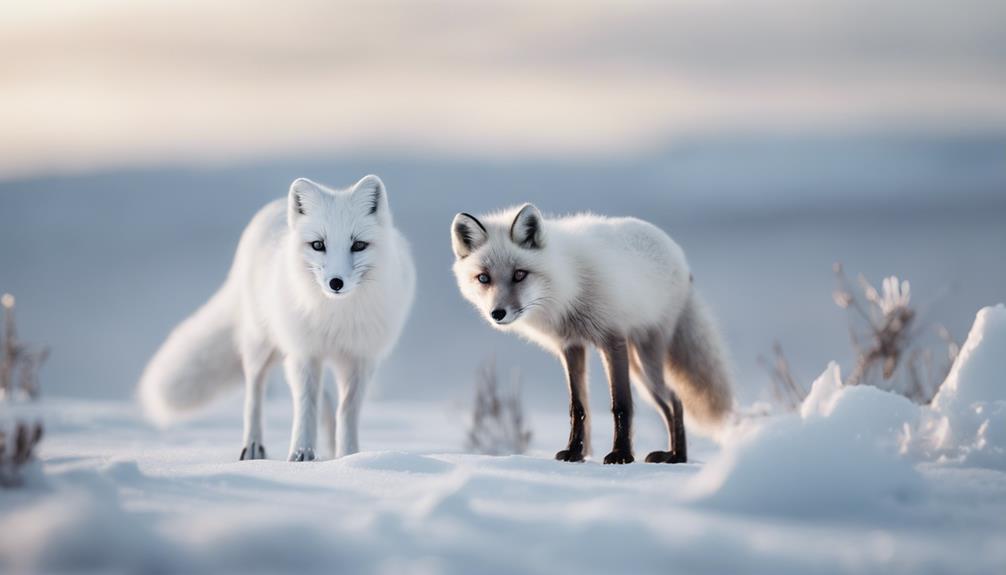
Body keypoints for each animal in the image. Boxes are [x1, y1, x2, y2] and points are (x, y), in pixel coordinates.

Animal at [139, 174, 414, 462]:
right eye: (318, 245)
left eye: (358, 245)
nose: (335, 283)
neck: (334, 318)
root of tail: (275, 207)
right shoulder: (303, 353)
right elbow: (305, 405)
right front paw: (301, 454)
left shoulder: (360, 359)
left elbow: (347, 411)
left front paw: (349, 456)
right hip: (261, 344)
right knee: (255, 390)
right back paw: (253, 447)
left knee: (325, 401)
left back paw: (329, 449)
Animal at [454, 204, 732, 464]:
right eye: (483, 278)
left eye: (519, 274)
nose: (497, 313)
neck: (569, 284)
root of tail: (678, 253)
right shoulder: (571, 346)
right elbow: (578, 407)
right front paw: (575, 452)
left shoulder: (612, 339)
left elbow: (621, 404)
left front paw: (621, 455)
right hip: (640, 372)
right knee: (668, 404)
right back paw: (671, 453)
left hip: (646, 362)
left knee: (676, 399)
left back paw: (678, 457)